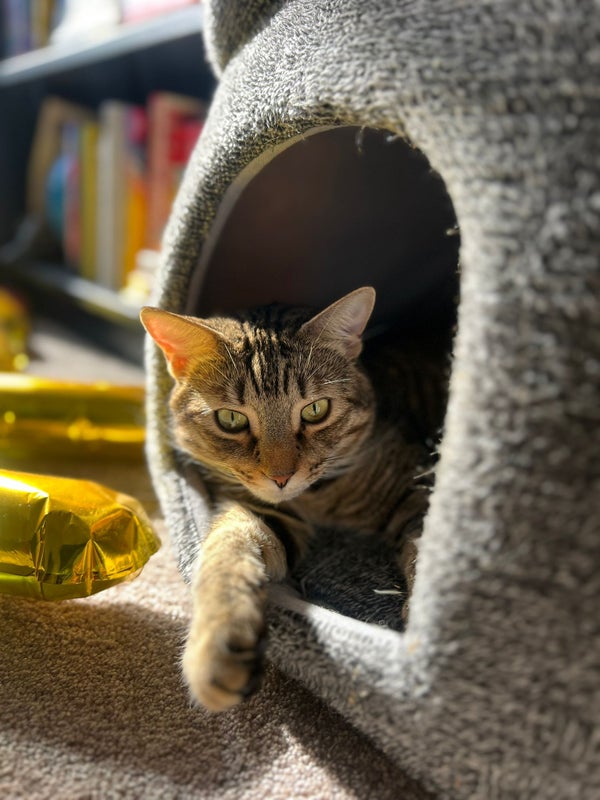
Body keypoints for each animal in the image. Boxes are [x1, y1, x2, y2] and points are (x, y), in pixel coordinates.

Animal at [140, 287, 448, 712]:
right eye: (230, 420)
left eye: (316, 410)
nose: (281, 478)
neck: (321, 500)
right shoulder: (266, 515)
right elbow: (227, 549)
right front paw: (216, 644)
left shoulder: (418, 483)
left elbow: (425, 547)